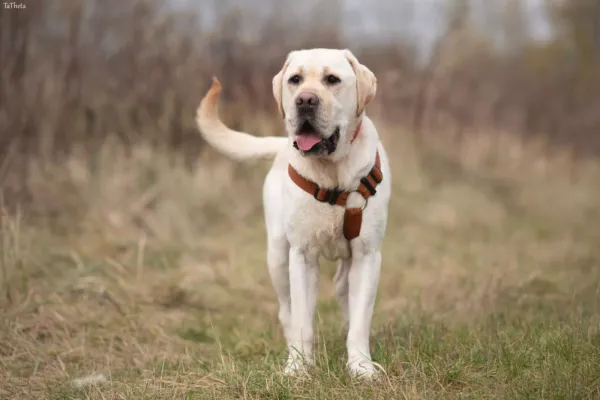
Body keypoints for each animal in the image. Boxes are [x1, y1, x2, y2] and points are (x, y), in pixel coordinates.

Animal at [197, 48, 392, 376]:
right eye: (295, 80)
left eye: (332, 79)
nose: (305, 100)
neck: (332, 173)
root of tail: (280, 146)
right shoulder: (302, 255)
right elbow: (302, 321)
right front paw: (299, 367)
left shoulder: (367, 255)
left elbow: (360, 319)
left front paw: (361, 367)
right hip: (277, 256)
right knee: (286, 311)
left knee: (344, 294)